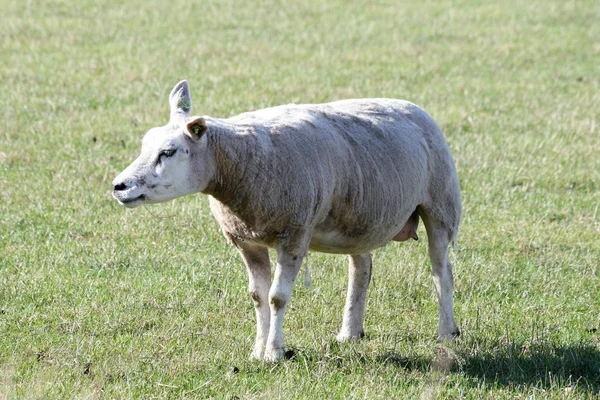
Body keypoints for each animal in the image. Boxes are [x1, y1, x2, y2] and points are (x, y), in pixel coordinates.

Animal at [113, 80, 464, 362]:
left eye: (169, 152)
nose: (119, 185)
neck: (239, 161)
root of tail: (410, 106)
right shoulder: (246, 240)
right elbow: (257, 296)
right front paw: (257, 350)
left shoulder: (294, 233)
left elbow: (277, 297)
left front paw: (274, 352)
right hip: (361, 216)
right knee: (362, 269)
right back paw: (350, 332)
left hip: (441, 205)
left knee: (441, 271)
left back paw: (447, 332)